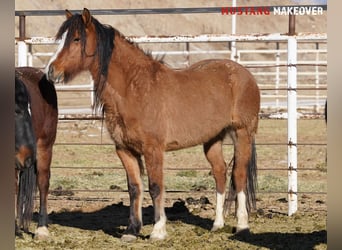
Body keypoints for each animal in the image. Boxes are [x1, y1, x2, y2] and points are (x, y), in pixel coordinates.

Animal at [44, 8, 260, 241]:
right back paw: (217, 224)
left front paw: (158, 230)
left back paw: (242, 226)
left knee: (239, 175)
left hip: (242, 133)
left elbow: (155, 187)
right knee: (220, 172)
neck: (135, 89)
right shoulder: (125, 150)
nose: (51, 71)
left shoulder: (153, 149)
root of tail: (244, 73)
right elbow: (134, 188)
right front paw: (131, 230)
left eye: (76, 39)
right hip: (212, 139)